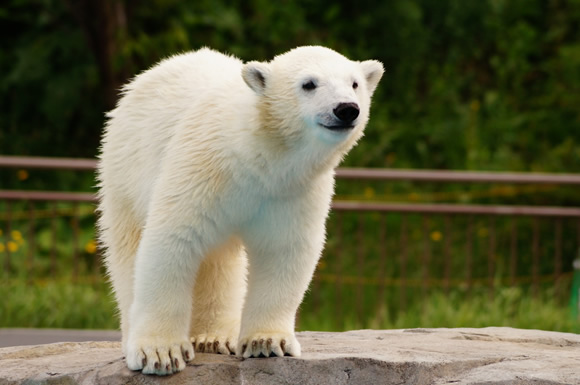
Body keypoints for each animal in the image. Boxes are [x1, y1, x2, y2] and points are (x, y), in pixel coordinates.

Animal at [97, 45, 382, 376]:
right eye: (309, 84)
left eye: (354, 83)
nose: (346, 109)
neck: (257, 155)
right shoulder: (202, 167)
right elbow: (173, 240)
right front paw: (159, 353)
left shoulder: (292, 190)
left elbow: (284, 249)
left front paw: (266, 342)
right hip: (123, 168)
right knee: (127, 247)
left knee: (220, 261)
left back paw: (214, 337)